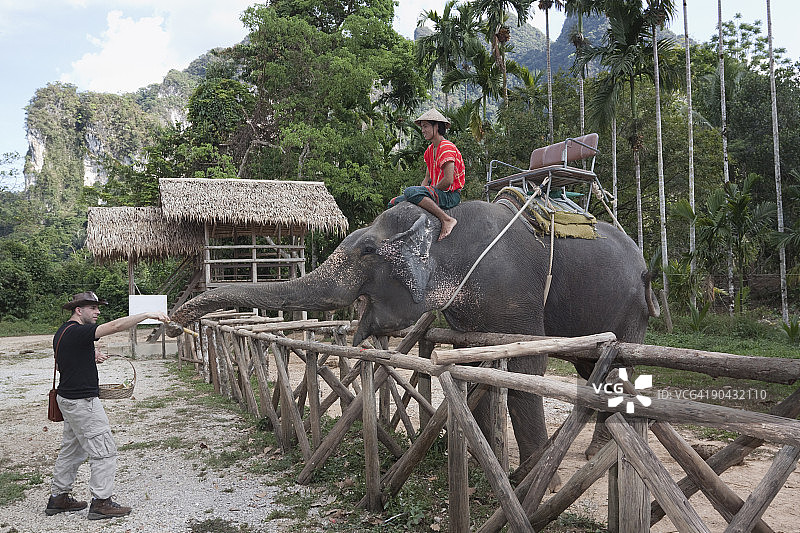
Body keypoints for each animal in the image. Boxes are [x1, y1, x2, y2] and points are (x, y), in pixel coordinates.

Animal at [169, 200, 658, 465]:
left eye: (368, 251)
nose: (176, 321)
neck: (445, 227)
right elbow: (474, 371)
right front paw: (485, 460)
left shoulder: (513, 294)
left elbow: (524, 368)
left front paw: (530, 473)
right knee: (591, 365)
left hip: (631, 307)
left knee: (618, 362)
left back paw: (597, 452)